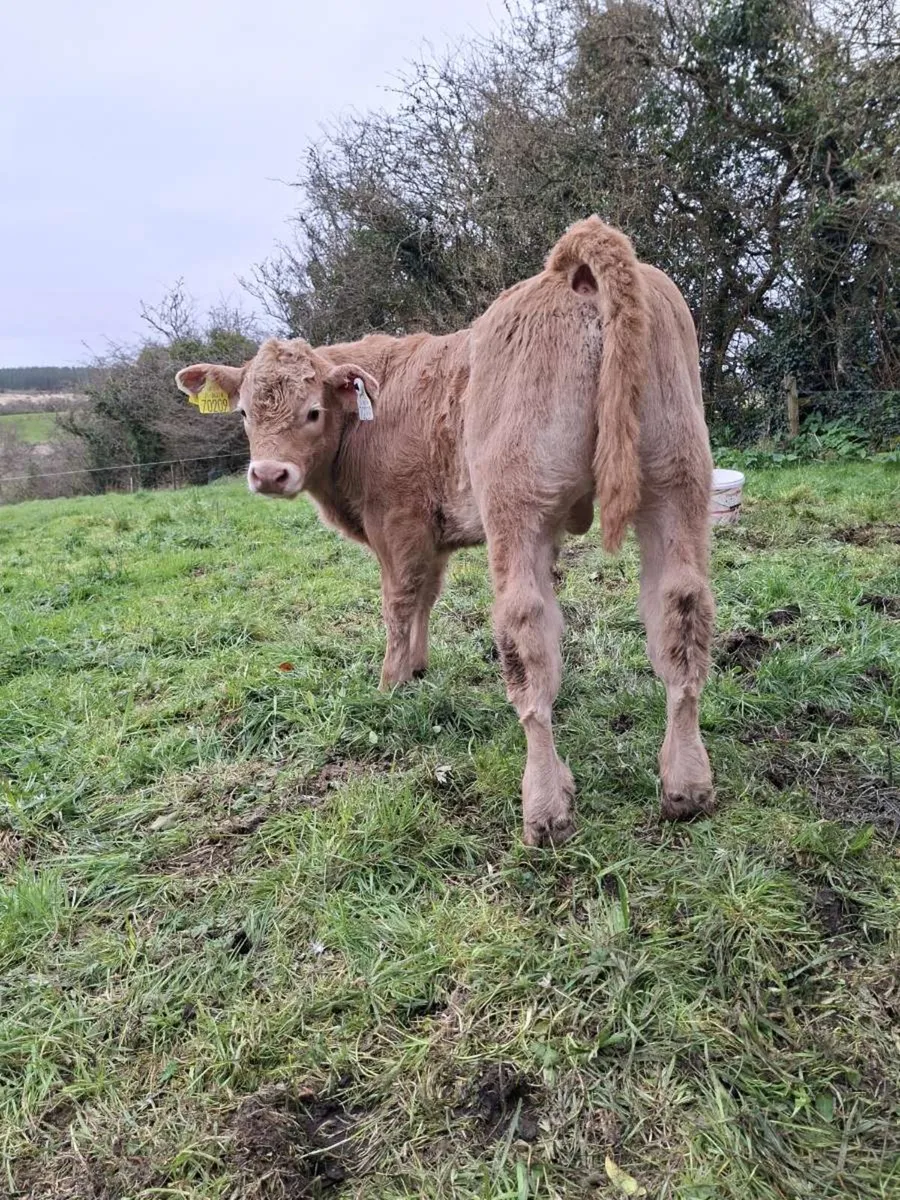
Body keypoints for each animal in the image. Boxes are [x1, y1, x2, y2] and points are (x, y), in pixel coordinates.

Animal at [176, 217, 715, 847]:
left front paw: (390, 683)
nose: (267, 474)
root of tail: (572, 268)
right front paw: (417, 668)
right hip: (676, 484)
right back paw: (685, 785)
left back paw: (545, 807)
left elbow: (399, 602)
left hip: (519, 507)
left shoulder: (398, 521)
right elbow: (427, 598)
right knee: (679, 612)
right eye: (243, 412)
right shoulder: (433, 537)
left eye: (312, 411)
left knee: (525, 634)